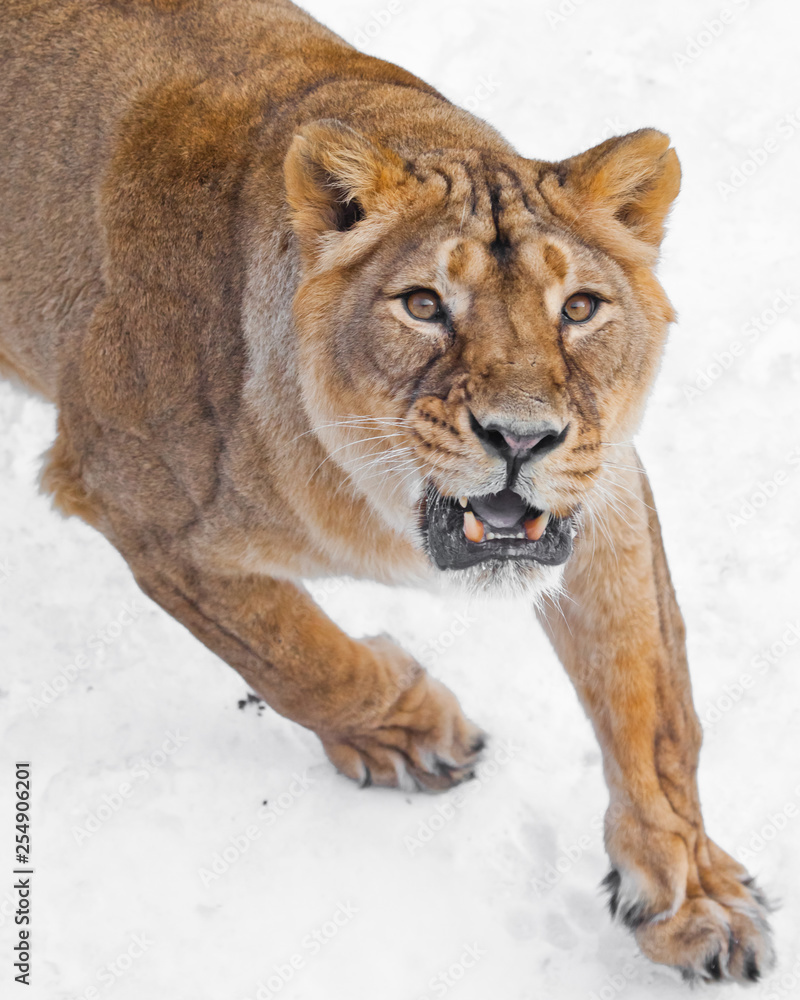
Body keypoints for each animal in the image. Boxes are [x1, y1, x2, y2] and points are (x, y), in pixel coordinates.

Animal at [0, 0, 774, 983]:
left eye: (579, 309)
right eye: (423, 305)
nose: (522, 438)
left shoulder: (605, 491)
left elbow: (652, 707)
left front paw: (688, 895)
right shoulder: (127, 494)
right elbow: (297, 655)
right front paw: (407, 737)